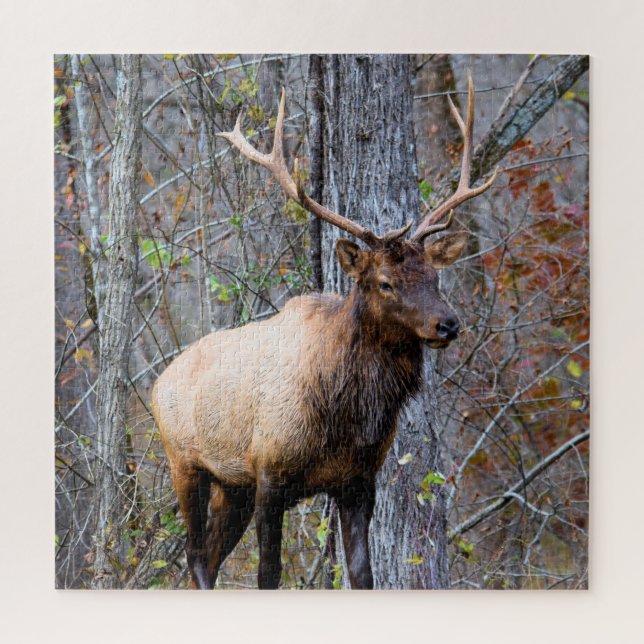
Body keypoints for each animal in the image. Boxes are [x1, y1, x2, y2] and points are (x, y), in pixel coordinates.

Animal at [150, 72, 497, 590]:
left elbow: (362, 574)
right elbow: (268, 574)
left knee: (208, 556)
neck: (346, 412)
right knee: (195, 555)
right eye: (385, 282)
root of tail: (156, 384)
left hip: (231, 486)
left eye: (435, 276)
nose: (448, 323)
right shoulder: (269, 471)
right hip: (185, 463)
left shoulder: (357, 481)